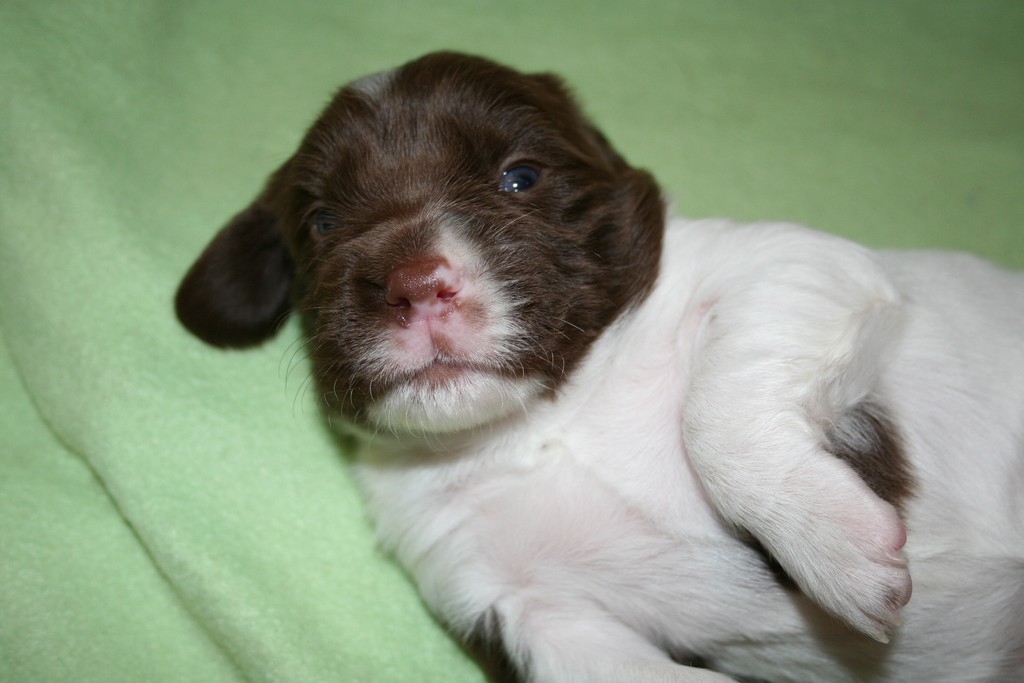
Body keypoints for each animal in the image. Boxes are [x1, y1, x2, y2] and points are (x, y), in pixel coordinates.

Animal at [175, 52, 1024, 682]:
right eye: (320, 222)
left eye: (521, 177)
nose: (412, 283)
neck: (539, 421)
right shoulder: (524, 611)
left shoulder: (796, 264)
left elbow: (716, 413)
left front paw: (837, 551)